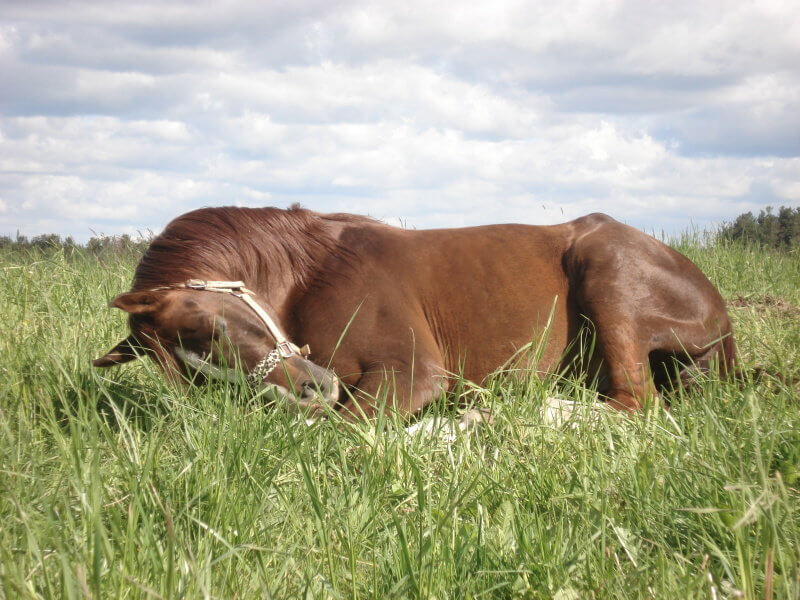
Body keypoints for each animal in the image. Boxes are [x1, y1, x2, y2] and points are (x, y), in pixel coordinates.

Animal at [94, 206, 736, 418]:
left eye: (209, 327)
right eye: (196, 380)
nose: (310, 388)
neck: (312, 272)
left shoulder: (412, 372)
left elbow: (337, 428)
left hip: (608, 273)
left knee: (635, 405)